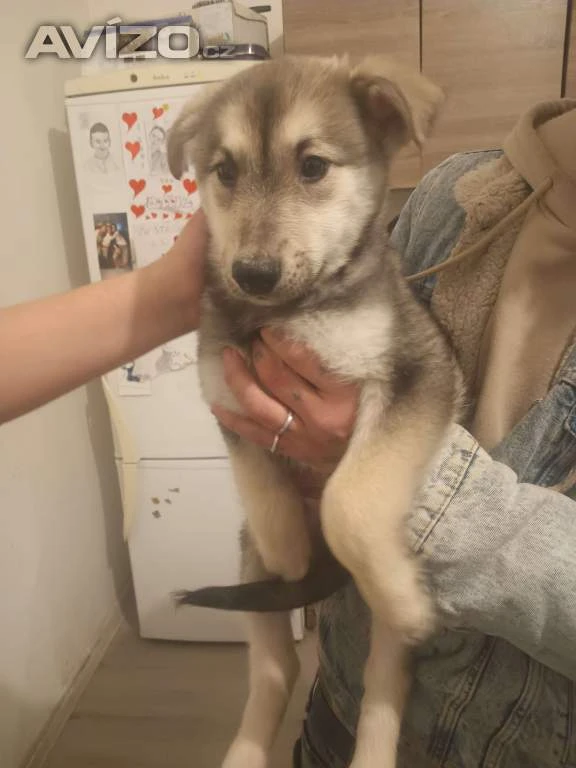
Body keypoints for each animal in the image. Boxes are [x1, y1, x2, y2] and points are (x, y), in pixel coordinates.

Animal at [167, 55, 462, 768]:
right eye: (224, 172)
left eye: (313, 166)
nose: (251, 274)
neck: (290, 315)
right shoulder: (226, 394)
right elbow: (260, 485)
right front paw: (290, 548)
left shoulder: (418, 375)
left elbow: (348, 499)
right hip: (248, 573)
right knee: (276, 672)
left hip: (387, 627)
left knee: (381, 687)